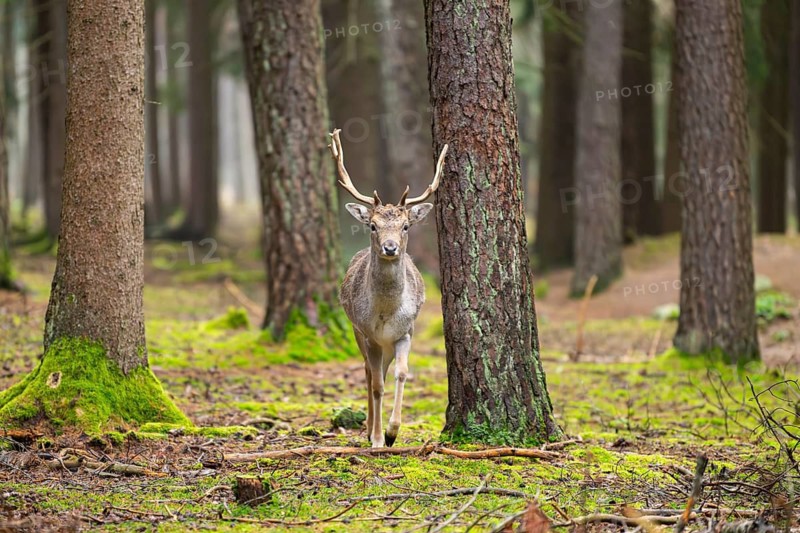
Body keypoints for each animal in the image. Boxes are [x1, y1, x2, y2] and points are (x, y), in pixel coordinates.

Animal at [328, 128, 448, 448]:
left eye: (406, 225)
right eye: (372, 225)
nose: (390, 247)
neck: (385, 313)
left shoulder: (405, 332)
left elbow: (402, 374)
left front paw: (393, 431)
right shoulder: (367, 334)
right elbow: (377, 385)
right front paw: (379, 438)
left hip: (387, 344)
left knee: (381, 370)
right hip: (359, 334)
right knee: (369, 374)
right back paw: (369, 428)